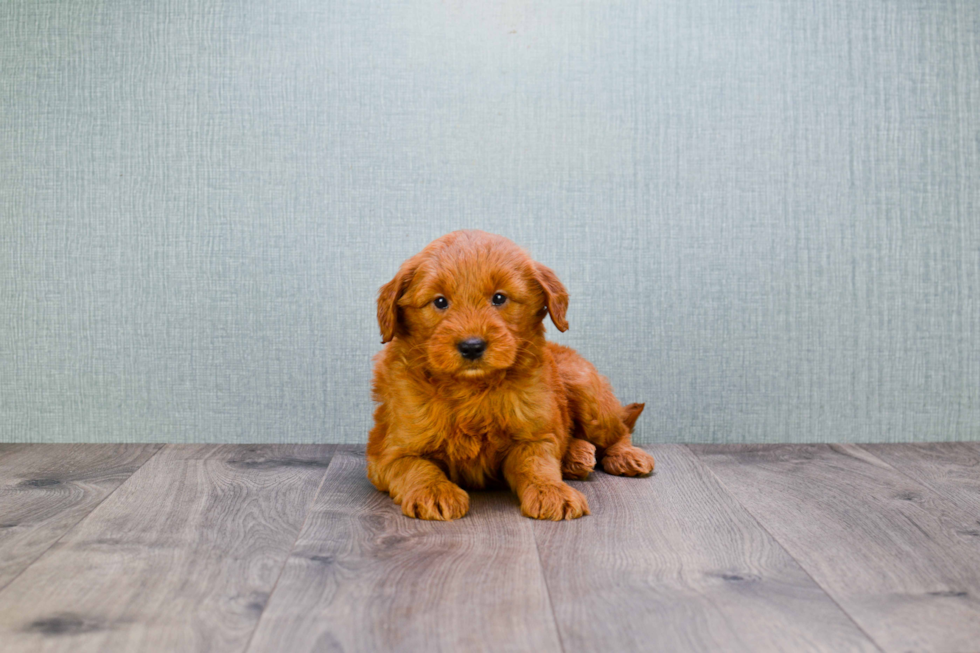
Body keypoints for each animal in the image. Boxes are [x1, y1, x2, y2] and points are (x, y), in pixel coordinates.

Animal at [368, 229, 660, 520]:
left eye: (499, 298)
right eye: (440, 301)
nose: (472, 346)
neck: (472, 389)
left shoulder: (533, 436)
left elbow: (537, 464)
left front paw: (551, 491)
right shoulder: (388, 453)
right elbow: (416, 468)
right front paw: (435, 491)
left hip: (587, 392)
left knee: (619, 429)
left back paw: (624, 455)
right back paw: (577, 456)